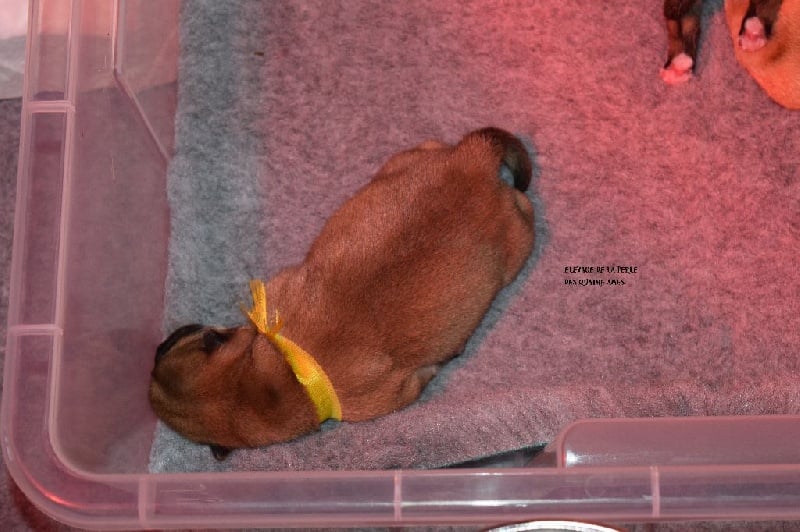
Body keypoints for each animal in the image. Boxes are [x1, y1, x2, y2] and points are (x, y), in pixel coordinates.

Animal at [150, 127, 535, 460]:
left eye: (179, 342)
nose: (158, 345)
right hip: (408, 159)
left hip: (518, 243)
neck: (276, 379)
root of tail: (472, 158)